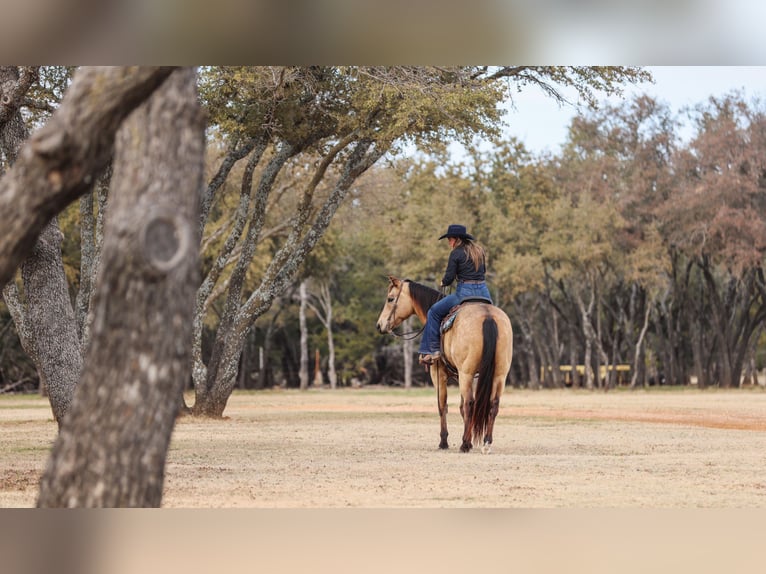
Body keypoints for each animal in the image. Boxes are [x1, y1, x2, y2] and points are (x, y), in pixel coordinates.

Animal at [376, 276, 513, 453]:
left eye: (390, 299)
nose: (379, 325)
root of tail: (488, 316)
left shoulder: (438, 373)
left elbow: (443, 405)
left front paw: (444, 441)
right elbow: (461, 408)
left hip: (467, 373)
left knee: (470, 403)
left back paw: (464, 444)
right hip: (499, 374)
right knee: (493, 404)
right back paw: (486, 442)